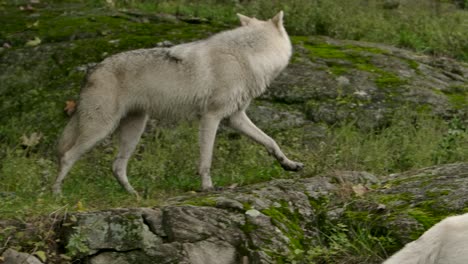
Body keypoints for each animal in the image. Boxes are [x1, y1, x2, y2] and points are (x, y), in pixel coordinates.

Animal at [53, 11, 304, 195]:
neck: (247, 56)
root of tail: (92, 69)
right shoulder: (211, 117)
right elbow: (206, 159)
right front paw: (207, 187)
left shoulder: (235, 118)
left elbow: (270, 141)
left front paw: (289, 164)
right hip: (100, 130)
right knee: (67, 156)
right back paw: (57, 194)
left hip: (134, 130)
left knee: (116, 166)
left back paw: (134, 194)